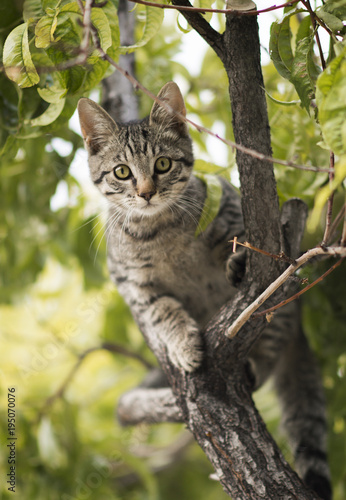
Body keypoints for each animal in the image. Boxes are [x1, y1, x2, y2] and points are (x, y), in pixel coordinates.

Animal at [78, 82, 332, 500]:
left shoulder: (231, 213)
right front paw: (184, 343)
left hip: (283, 312)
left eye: (163, 165)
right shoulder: (132, 283)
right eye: (122, 172)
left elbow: (246, 243)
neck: (161, 231)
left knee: (271, 348)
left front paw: (239, 263)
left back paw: (253, 363)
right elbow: (161, 309)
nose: (146, 193)